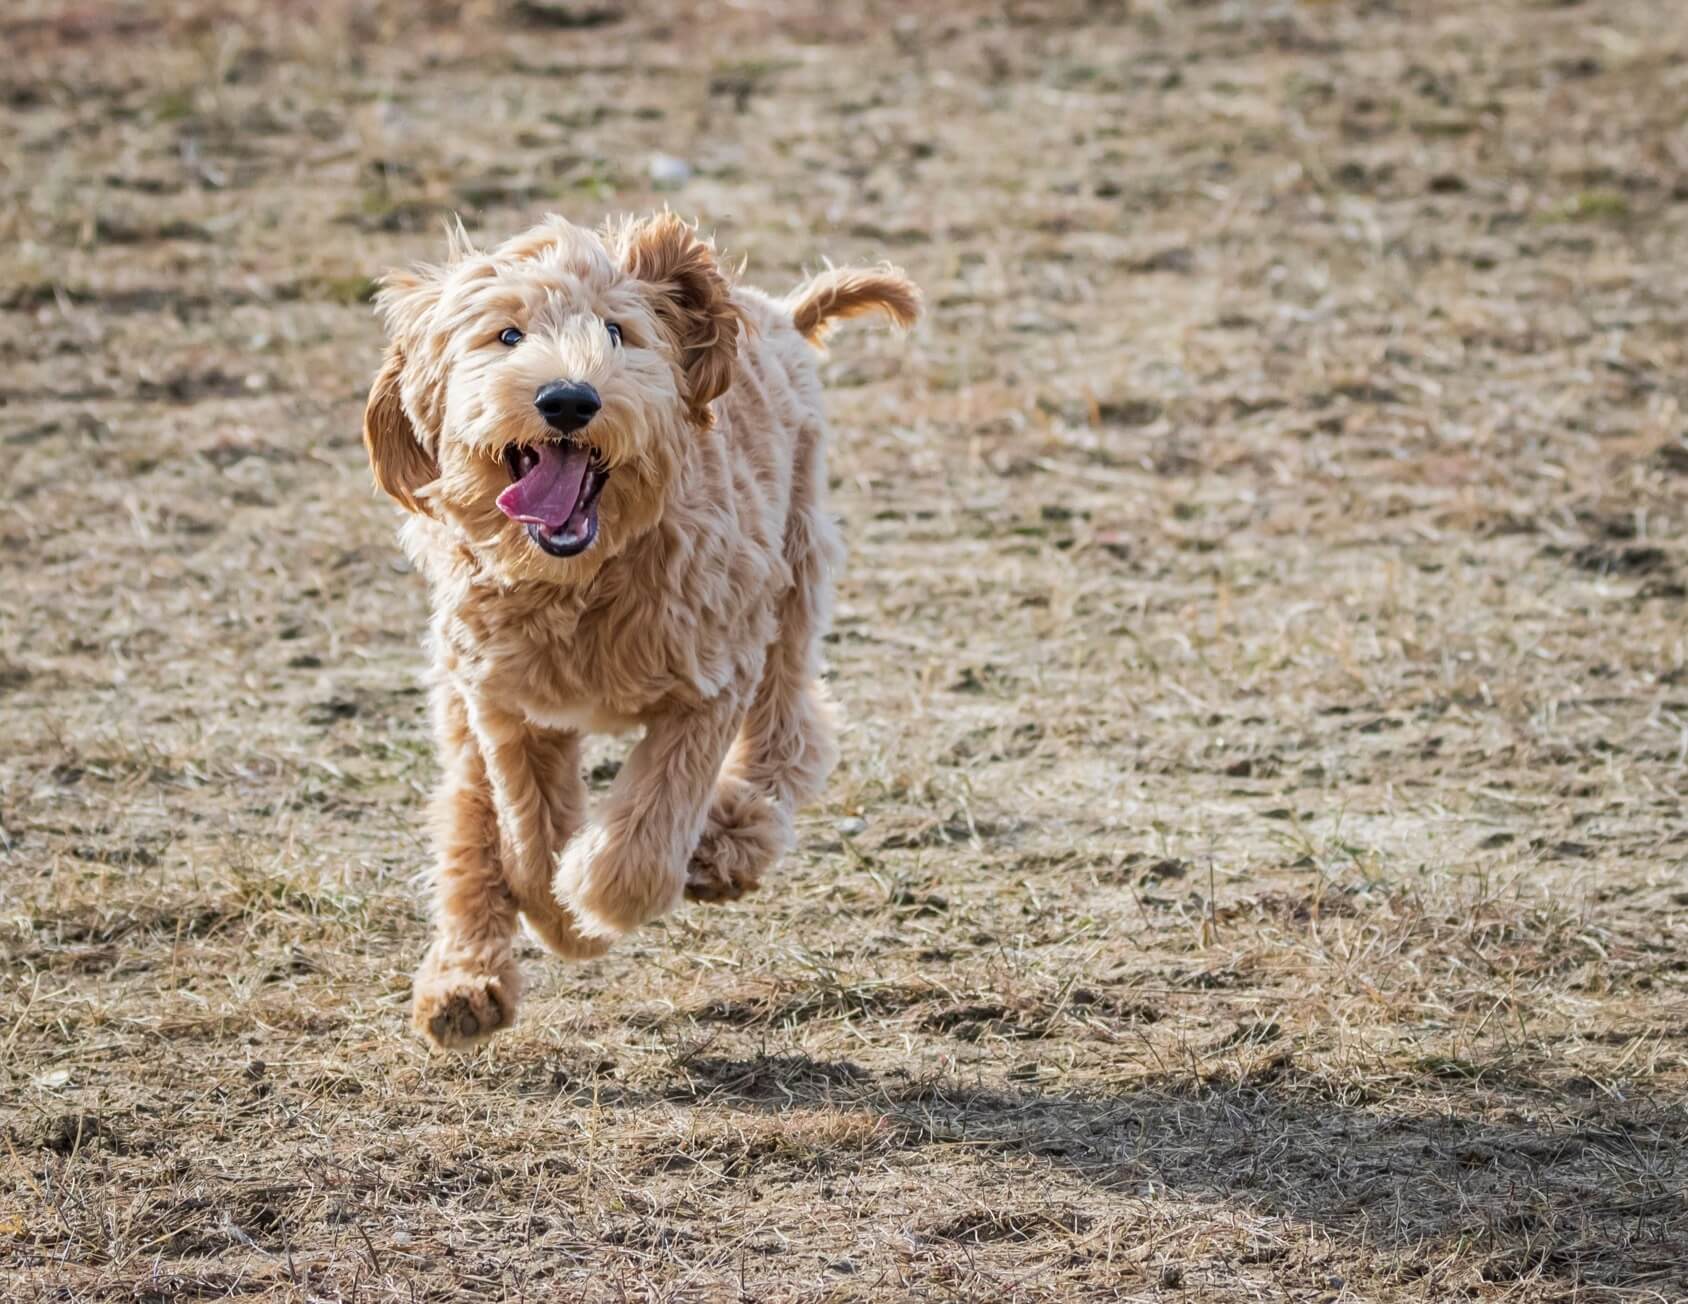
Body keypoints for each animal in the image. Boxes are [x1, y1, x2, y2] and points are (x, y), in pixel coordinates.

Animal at [359, 213, 925, 1045]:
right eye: (506, 334)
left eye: (617, 332)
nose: (568, 399)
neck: (583, 578)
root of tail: (778, 313)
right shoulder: (506, 706)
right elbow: (524, 837)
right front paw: (555, 913)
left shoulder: (711, 676)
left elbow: (645, 839)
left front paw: (591, 900)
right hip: (461, 692)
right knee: (467, 821)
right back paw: (463, 985)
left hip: (792, 575)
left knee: (793, 728)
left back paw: (728, 841)